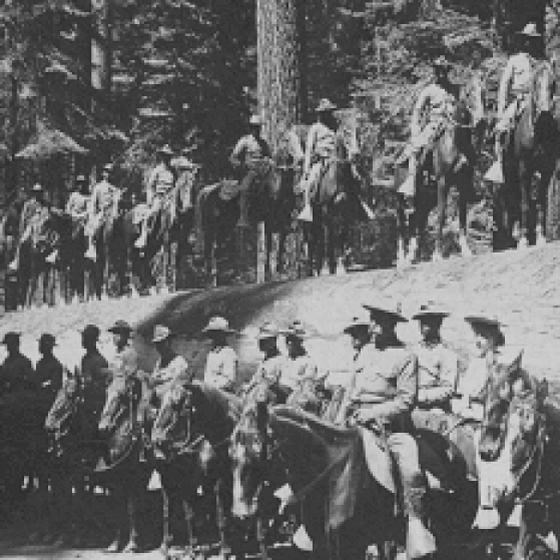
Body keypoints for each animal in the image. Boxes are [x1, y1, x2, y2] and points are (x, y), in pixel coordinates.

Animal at [97, 374, 153, 552]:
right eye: (106, 393)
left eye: (122, 395)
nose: (103, 427)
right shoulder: (116, 478)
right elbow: (118, 508)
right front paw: (115, 543)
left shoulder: (135, 478)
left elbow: (131, 508)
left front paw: (132, 543)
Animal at [152, 378, 242, 556]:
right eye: (159, 401)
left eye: (178, 403)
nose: (156, 439)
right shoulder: (187, 480)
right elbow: (188, 514)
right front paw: (193, 548)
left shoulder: (219, 479)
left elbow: (220, 514)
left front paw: (225, 549)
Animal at [396, 75, 484, 264]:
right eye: (469, 93)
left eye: (483, 91)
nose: (481, 121)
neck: (456, 142)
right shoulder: (443, 182)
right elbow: (442, 215)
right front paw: (437, 254)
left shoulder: (462, 184)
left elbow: (462, 217)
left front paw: (466, 250)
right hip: (399, 201)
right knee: (401, 227)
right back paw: (401, 259)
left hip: (424, 201)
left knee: (417, 223)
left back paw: (414, 256)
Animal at [494, 59, 556, 249]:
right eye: (535, 83)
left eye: (553, 83)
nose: (545, 112)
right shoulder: (524, 169)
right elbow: (525, 203)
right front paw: (523, 239)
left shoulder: (547, 169)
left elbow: (541, 202)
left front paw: (541, 237)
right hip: (509, 173)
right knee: (513, 199)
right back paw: (515, 234)